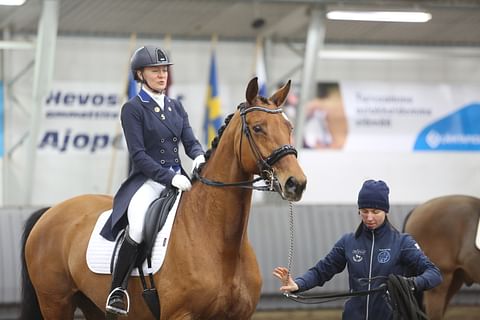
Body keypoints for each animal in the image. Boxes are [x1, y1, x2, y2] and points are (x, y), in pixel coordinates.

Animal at [19, 78, 308, 320]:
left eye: (289, 127)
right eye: (258, 128)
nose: (296, 183)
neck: (221, 243)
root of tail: (50, 211)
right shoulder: (179, 315)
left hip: (93, 305)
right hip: (55, 302)